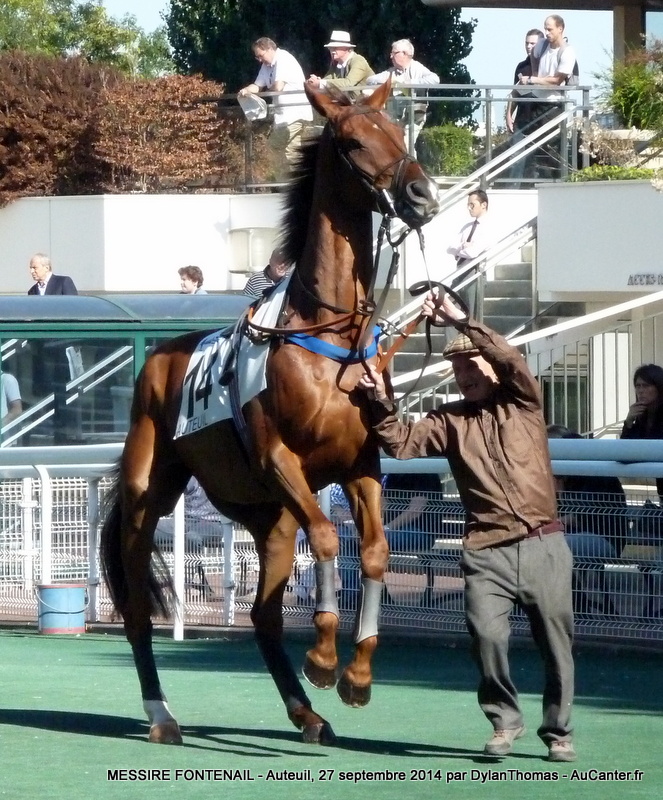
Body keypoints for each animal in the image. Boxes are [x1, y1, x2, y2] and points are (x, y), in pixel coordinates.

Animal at [98, 78, 440, 748]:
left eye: (398, 129)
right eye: (354, 141)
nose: (421, 194)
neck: (326, 333)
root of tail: (158, 361)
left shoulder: (360, 465)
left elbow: (375, 551)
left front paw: (357, 675)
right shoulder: (280, 459)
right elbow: (330, 539)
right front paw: (327, 659)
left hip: (268, 517)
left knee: (262, 615)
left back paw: (306, 713)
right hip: (149, 496)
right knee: (138, 612)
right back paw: (161, 714)